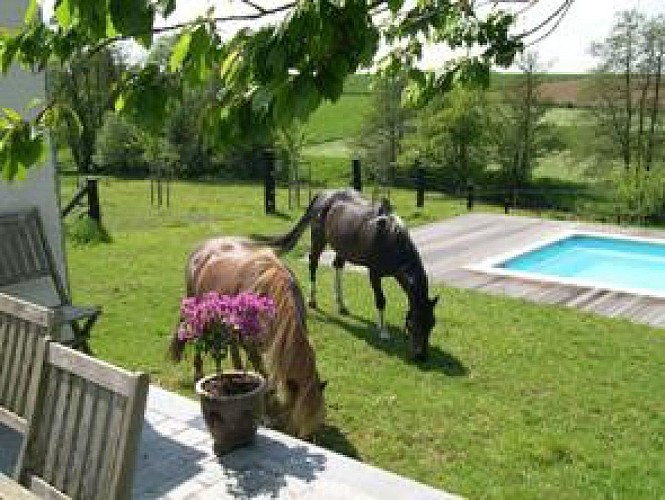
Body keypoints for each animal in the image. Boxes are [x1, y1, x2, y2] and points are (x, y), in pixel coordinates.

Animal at [169, 237, 326, 438]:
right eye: (297, 422)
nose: (306, 439)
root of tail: (203, 247)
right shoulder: (250, 343)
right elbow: (263, 374)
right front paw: (266, 413)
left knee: (232, 347)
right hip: (199, 311)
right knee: (199, 341)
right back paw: (198, 373)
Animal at [258, 188, 438, 362]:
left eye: (432, 324)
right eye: (414, 324)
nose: (421, 356)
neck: (391, 236)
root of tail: (323, 195)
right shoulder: (374, 273)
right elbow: (380, 301)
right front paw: (383, 332)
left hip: (341, 247)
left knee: (337, 266)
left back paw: (341, 305)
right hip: (319, 239)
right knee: (313, 263)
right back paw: (313, 301)